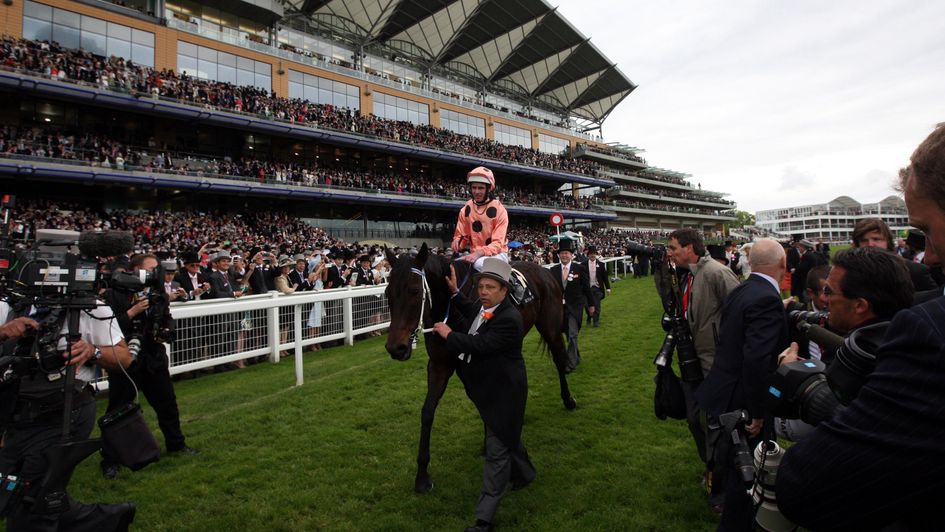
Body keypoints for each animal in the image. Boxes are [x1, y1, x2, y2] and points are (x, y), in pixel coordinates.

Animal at [384, 243, 576, 492]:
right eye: (387, 293)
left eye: (415, 291)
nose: (395, 348)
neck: (450, 309)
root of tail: (545, 270)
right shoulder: (440, 364)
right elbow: (428, 411)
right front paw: (422, 476)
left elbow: (483, 399)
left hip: (550, 327)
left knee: (559, 361)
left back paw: (568, 399)